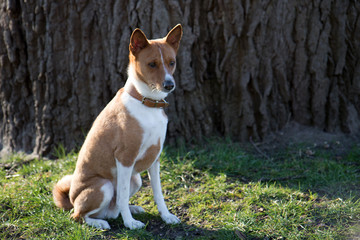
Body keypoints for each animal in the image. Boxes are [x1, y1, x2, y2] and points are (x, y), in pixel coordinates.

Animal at [52, 24, 183, 231]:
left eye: (172, 62)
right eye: (152, 64)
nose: (169, 85)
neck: (147, 103)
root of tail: (72, 200)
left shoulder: (155, 159)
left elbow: (159, 194)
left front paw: (166, 216)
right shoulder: (125, 158)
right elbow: (121, 195)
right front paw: (130, 223)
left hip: (136, 179)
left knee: (112, 209)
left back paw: (130, 209)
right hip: (103, 186)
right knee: (78, 216)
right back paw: (100, 223)